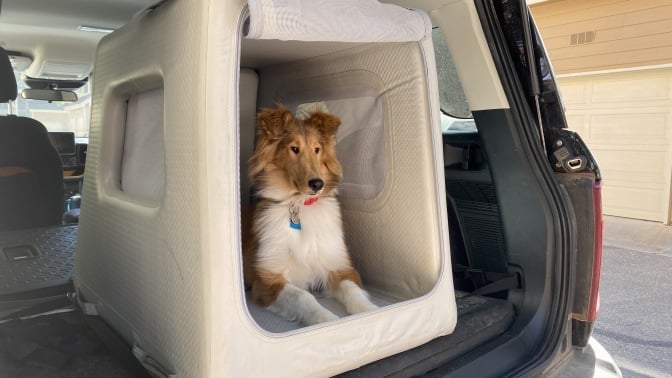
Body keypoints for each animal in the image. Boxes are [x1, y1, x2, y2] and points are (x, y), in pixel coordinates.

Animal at [242, 105, 378, 324]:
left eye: (317, 149)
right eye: (294, 148)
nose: (317, 184)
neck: (299, 205)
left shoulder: (341, 267)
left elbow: (353, 291)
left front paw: (371, 312)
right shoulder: (267, 279)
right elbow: (303, 296)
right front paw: (326, 320)